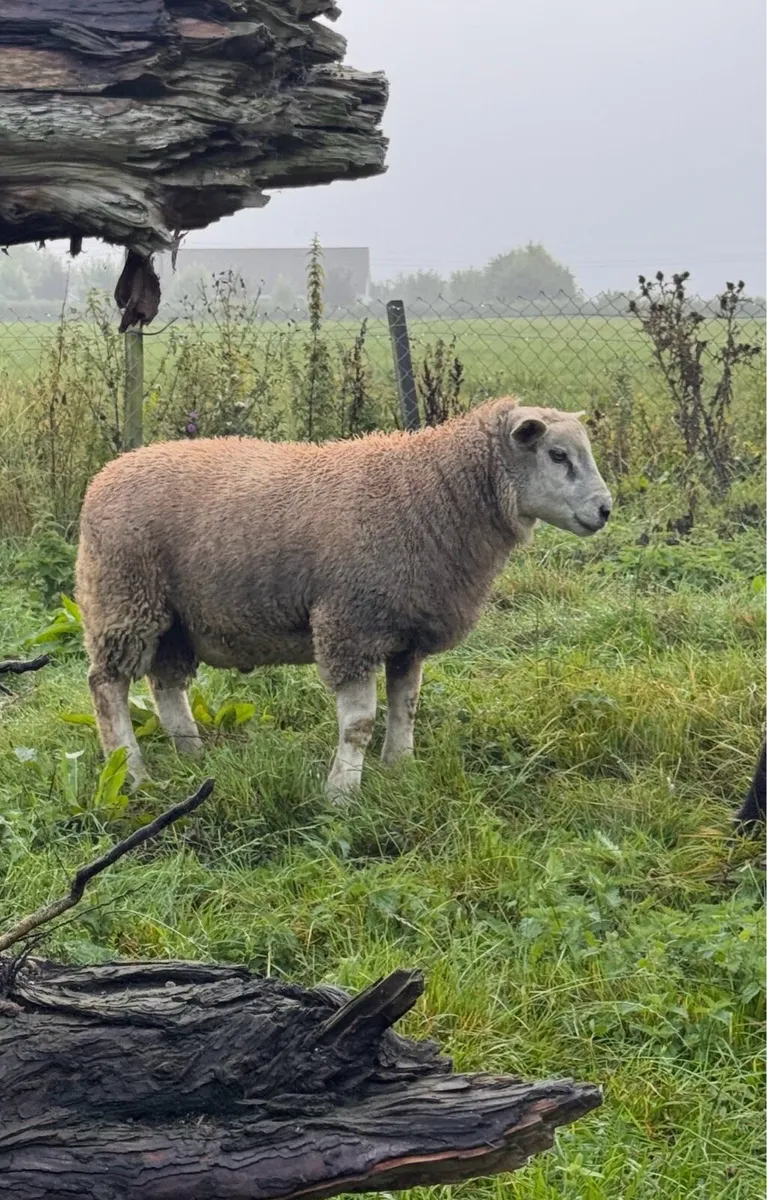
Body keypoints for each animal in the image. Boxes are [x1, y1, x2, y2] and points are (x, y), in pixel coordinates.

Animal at [75, 398, 613, 794]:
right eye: (557, 455)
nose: (606, 510)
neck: (437, 493)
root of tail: (107, 473)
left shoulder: (405, 632)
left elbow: (406, 705)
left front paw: (400, 768)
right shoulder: (352, 624)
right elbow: (359, 722)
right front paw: (342, 793)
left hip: (172, 618)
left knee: (166, 684)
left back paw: (192, 755)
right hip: (122, 600)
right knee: (106, 687)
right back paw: (131, 771)